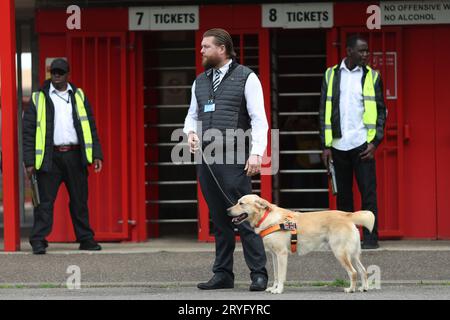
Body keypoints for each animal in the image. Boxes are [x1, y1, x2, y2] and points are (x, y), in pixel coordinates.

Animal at [227, 194, 374, 294]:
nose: (227, 210)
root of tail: (347, 215)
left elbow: (281, 275)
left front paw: (279, 290)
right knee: (363, 271)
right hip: (353, 254)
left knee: (353, 272)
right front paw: (274, 287)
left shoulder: (282, 254)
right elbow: (275, 275)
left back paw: (351, 289)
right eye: (237, 202)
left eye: (241, 203)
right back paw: (364, 287)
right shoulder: (274, 255)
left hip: (340, 253)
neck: (266, 218)